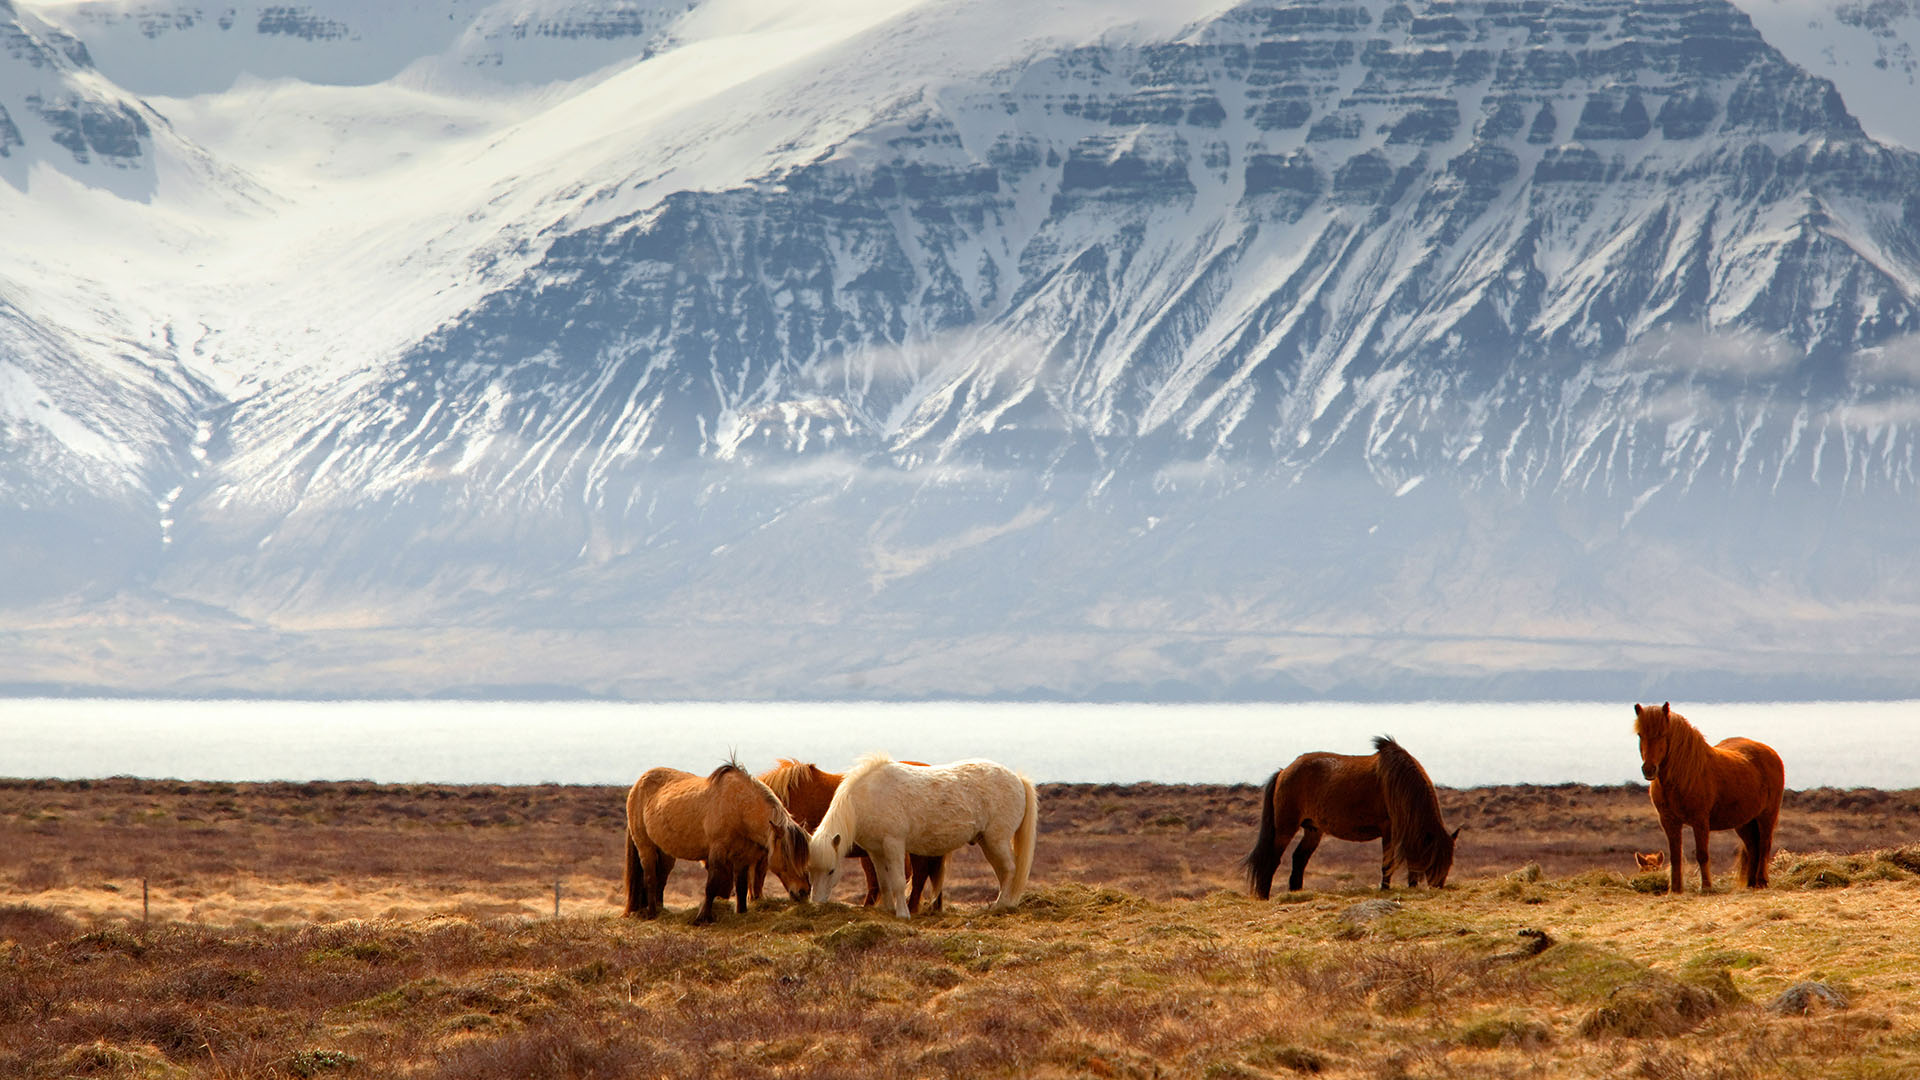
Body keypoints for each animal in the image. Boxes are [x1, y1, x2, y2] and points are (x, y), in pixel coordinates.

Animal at [625, 753, 814, 922]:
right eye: (788, 857)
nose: (804, 892)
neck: (739, 808)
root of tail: (637, 784)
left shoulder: (742, 858)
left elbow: (741, 887)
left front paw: (742, 912)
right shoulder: (717, 851)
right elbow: (711, 885)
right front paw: (702, 918)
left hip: (665, 853)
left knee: (661, 879)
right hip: (645, 847)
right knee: (650, 878)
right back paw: (652, 913)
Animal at [806, 749, 1036, 914]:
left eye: (831, 871)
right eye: (810, 871)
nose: (816, 903)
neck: (868, 796)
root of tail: (1018, 779)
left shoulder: (894, 845)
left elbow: (899, 881)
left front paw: (902, 914)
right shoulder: (876, 852)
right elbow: (884, 882)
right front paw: (888, 910)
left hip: (997, 840)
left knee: (1010, 870)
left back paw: (1001, 905)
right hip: (987, 843)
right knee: (1003, 872)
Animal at [1236, 730, 1459, 891]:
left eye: (1450, 862)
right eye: (1436, 860)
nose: (1438, 887)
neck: (1400, 782)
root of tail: (1284, 771)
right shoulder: (1389, 829)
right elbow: (1387, 862)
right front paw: (1385, 889)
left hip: (1313, 829)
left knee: (1299, 858)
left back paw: (1295, 892)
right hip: (1285, 827)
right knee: (1273, 859)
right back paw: (1264, 895)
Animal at [1635, 699, 1781, 891]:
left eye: (1662, 733)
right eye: (1640, 735)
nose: (1649, 769)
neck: (1683, 774)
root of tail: (1771, 753)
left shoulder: (1700, 821)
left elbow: (1702, 854)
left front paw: (1706, 888)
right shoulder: (1669, 821)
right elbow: (1675, 856)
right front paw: (1675, 890)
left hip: (1767, 815)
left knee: (1764, 845)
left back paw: (1762, 881)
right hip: (1745, 822)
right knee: (1753, 848)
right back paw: (1751, 884)